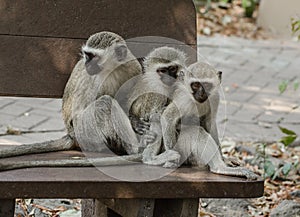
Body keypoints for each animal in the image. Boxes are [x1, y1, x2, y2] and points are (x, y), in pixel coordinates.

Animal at [0, 31, 155, 170]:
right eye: (87, 55)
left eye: (93, 57)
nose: (87, 64)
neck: (112, 69)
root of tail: (71, 136)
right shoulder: (92, 79)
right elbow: (82, 109)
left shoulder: (132, 66)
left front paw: (135, 122)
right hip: (84, 133)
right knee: (105, 104)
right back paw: (136, 149)